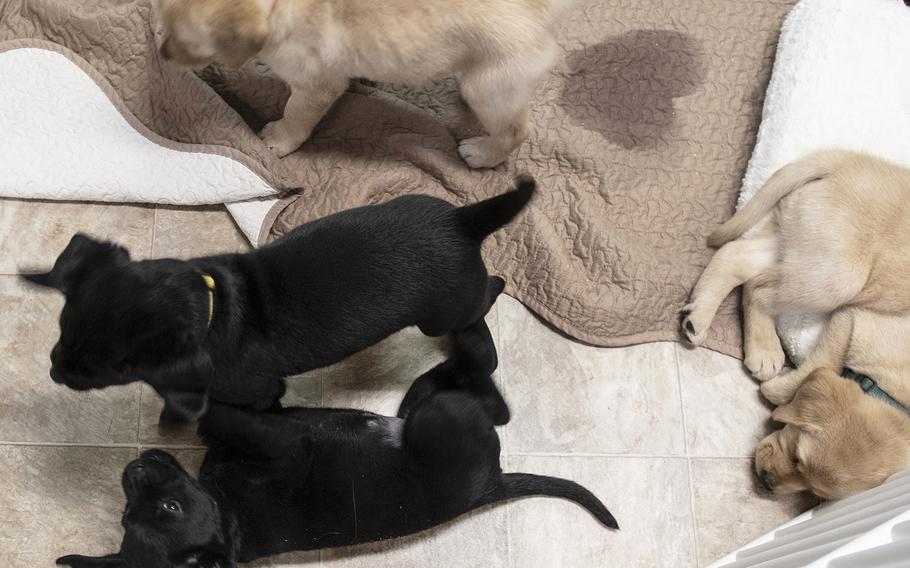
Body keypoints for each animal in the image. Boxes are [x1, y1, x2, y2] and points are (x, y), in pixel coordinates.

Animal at [19, 180, 536, 424]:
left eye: (114, 369)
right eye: (62, 330)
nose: (55, 372)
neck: (214, 307)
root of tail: (462, 222)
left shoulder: (259, 388)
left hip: (444, 311)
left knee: (486, 293)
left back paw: (495, 289)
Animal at [55, 322, 620, 564]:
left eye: (140, 512)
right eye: (162, 510)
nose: (131, 471)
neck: (226, 509)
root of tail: (493, 484)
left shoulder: (260, 426)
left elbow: (220, 413)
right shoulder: (283, 442)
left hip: (416, 408)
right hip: (437, 420)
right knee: (489, 394)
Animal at [153, 0, 572, 168]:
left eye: (187, 42)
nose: (161, 53)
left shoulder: (315, 85)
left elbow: (295, 115)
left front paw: (278, 140)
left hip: (491, 85)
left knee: (515, 130)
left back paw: (482, 154)